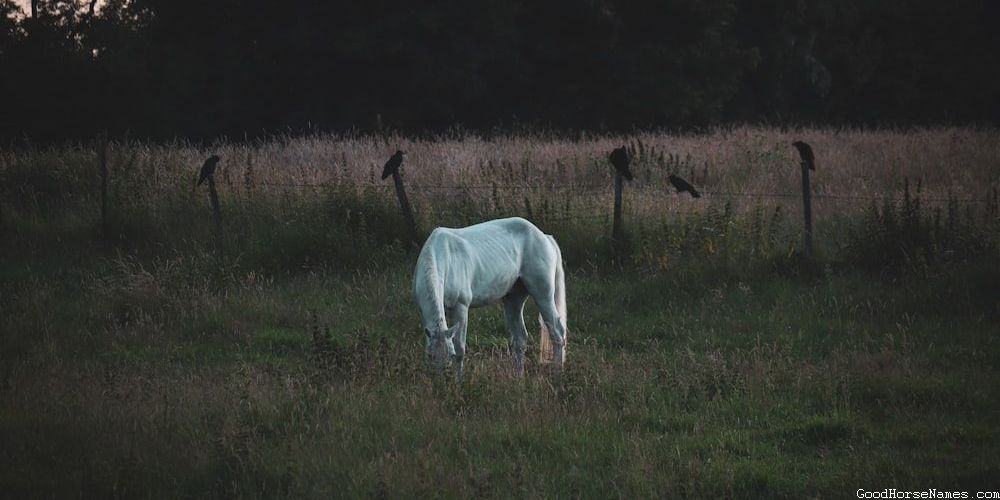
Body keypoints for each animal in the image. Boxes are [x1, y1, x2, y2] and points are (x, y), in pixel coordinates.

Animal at [412, 217, 567, 383]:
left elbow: (460, 349)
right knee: (520, 339)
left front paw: (458, 384)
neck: (443, 256)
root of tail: (544, 237)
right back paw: (518, 378)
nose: (439, 383)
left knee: (557, 332)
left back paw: (557, 374)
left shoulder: (461, 308)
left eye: (450, 356)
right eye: (430, 356)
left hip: (543, 295)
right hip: (513, 300)